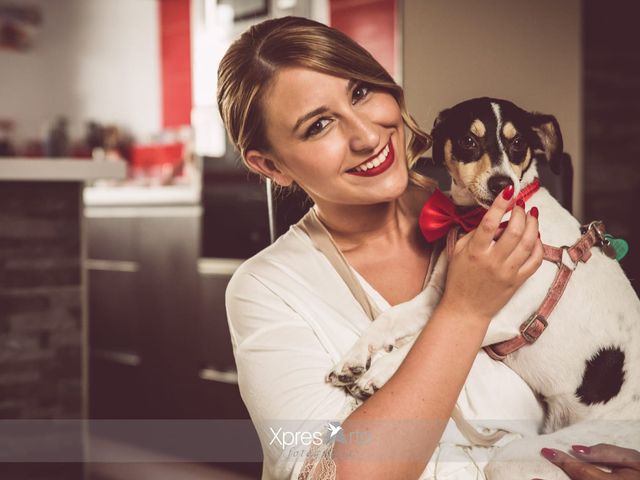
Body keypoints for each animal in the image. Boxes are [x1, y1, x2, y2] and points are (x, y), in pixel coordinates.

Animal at [330, 98, 640, 480]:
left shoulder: (500, 319)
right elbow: (389, 320)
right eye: (468, 140)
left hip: (524, 456)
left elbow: (417, 341)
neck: (480, 223)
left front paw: (382, 370)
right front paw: (355, 358)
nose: (501, 184)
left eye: (518, 142)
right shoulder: (443, 297)